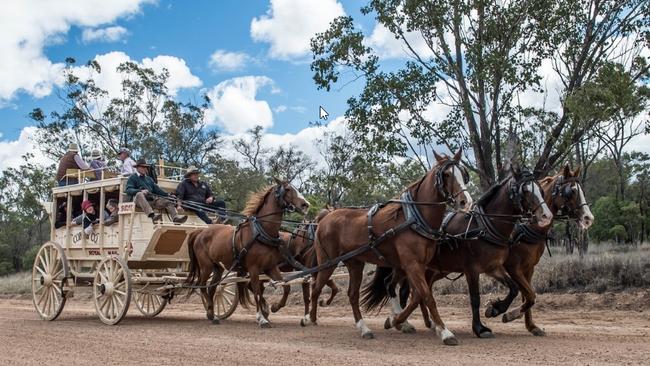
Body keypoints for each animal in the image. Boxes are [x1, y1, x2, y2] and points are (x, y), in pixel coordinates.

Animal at [185, 180, 308, 326]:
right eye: (288, 189)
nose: (306, 205)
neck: (261, 232)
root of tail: (200, 231)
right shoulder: (253, 269)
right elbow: (257, 292)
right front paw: (261, 318)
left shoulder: (270, 267)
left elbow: (286, 286)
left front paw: (274, 307)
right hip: (206, 266)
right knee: (203, 286)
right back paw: (212, 314)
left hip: (218, 268)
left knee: (212, 288)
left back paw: (212, 314)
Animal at [304, 150, 470, 344]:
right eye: (447, 174)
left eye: (463, 174)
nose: (465, 202)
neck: (414, 218)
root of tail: (325, 218)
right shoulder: (412, 265)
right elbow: (426, 296)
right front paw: (445, 332)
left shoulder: (417, 266)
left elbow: (417, 296)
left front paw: (397, 321)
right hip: (328, 262)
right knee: (316, 288)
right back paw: (309, 318)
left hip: (355, 263)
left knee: (353, 294)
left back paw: (364, 328)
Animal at [362, 164, 548, 338]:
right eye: (525, 190)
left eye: (540, 190)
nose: (546, 215)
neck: (483, 226)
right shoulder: (472, 269)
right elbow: (475, 299)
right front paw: (480, 328)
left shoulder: (493, 267)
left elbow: (514, 289)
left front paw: (495, 309)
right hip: (407, 266)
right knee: (394, 286)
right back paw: (400, 320)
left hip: (431, 270)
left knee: (412, 290)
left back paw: (419, 322)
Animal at [480, 164, 592, 336]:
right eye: (571, 191)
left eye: (581, 190)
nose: (588, 218)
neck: (526, 228)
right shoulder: (513, 267)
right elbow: (530, 295)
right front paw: (504, 312)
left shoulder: (528, 268)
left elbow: (528, 296)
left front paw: (531, 326)